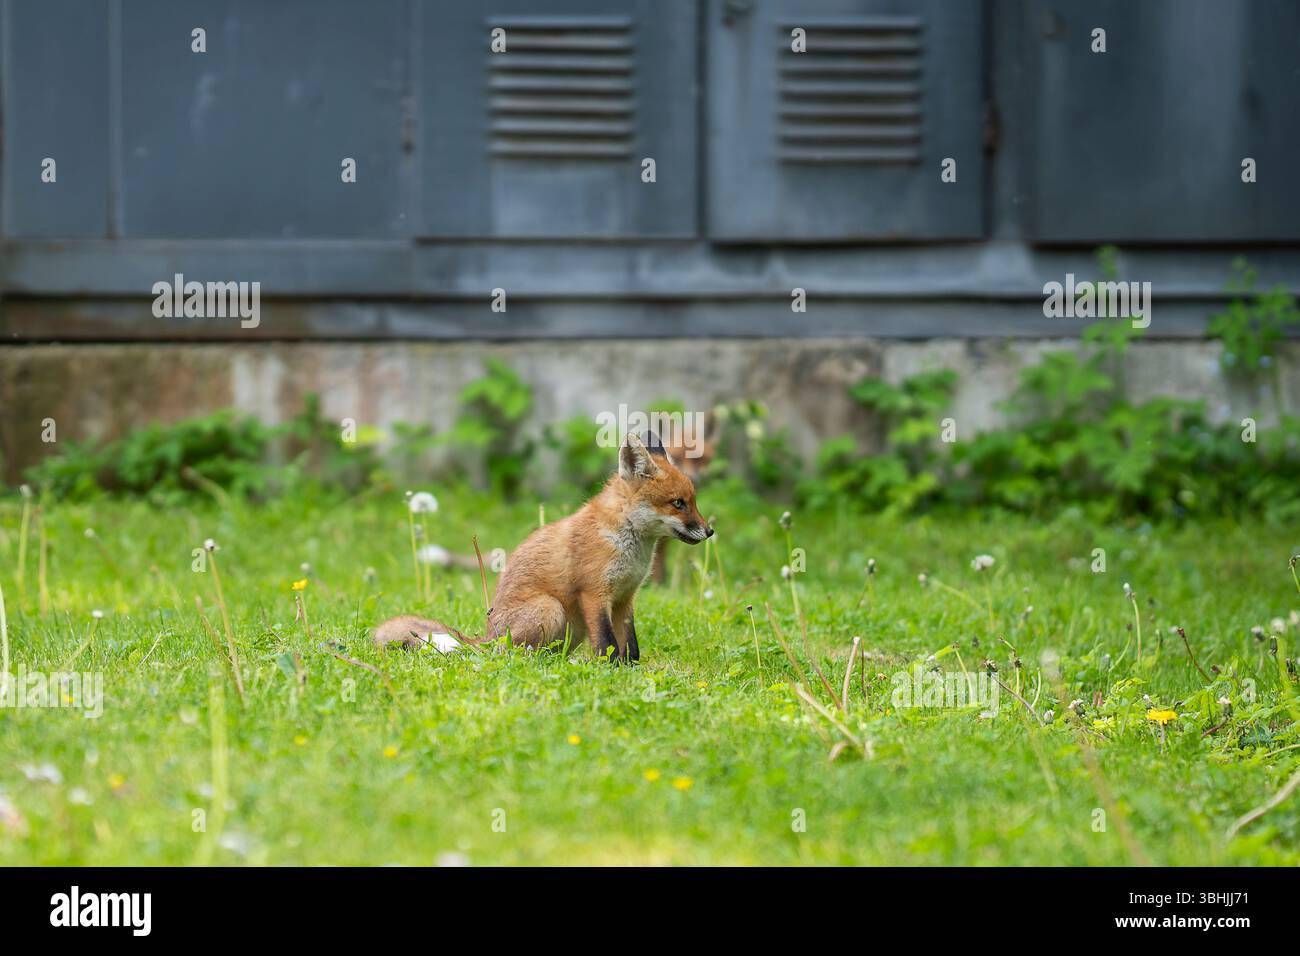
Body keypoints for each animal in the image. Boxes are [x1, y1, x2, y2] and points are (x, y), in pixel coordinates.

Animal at [373, 431, 712, 662]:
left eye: (694, 501)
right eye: (678, 503)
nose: (709, 531)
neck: (626, 542)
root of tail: (487, 637)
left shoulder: (625, 598)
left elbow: (631, 646)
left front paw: (632, 671)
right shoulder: (594, 594)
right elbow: (607, 644)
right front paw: (613, 672)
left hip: (572, 628)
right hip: (552, 609)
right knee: (513, 655)